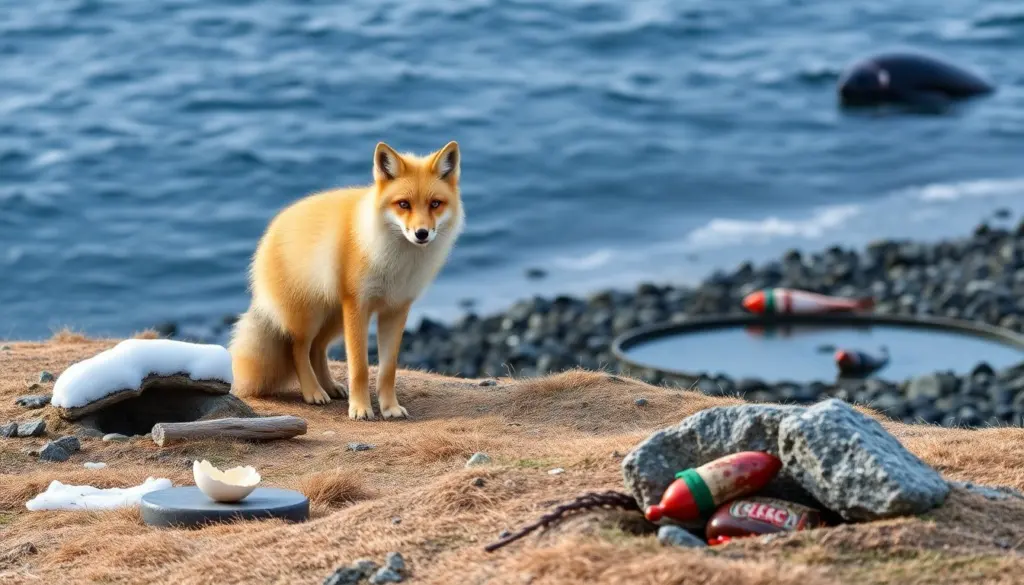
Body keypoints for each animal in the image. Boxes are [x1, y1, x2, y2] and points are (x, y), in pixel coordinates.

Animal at [228, 140, 465, 420]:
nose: (421, 233)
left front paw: (389, 408)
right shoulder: (357, 307)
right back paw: (313, 392)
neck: (396, 262)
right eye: (404, 204)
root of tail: (272, 229)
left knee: (317, 350)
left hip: (333, 319)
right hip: (310, 318)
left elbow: (388, 370)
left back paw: (330, 387)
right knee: (298, 350)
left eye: (435, 204)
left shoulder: (396, 310)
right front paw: (361, 408)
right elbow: (359, 367)